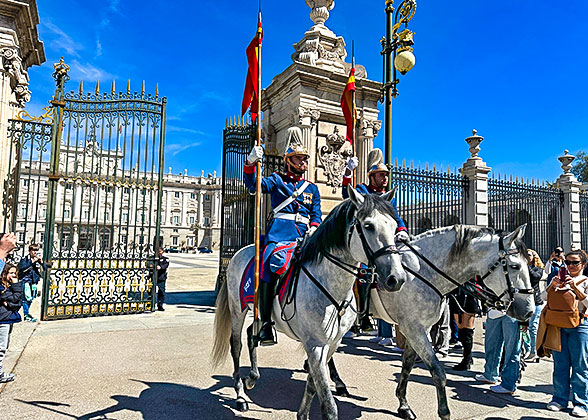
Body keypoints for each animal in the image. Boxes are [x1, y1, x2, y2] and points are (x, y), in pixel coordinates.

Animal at [211, 188, 408, 420]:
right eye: (368, 225)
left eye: (394, 225)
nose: (397, 278)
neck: (331, 284)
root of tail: (241, 252)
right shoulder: (315, 344)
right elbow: (328, 405)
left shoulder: (331, 343)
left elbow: (314, 384)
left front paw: (303, 413)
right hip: (237, 309)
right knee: (236, 345)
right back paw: (241, 395)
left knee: (253, 333)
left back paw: (252, 376)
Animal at [368, 225, 536, 420]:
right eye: (515, 266)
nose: (529, 311)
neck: (421, 273)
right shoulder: (413, 329)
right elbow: (437, 372)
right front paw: (443, 412)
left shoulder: (419, 329)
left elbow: (407, 364)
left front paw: (403, 405)